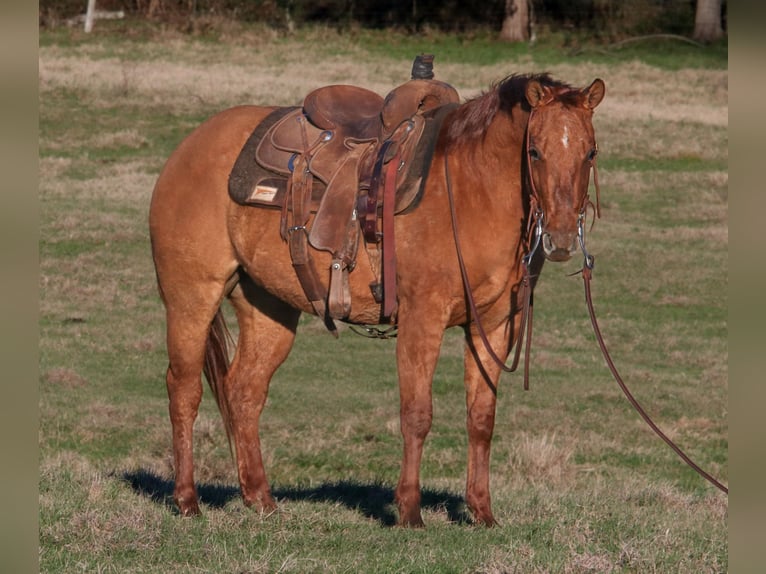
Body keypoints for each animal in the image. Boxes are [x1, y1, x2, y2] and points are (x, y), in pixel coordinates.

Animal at [148, 71, 608, 528]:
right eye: (534, 151)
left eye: (590, 152)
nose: (561, 238)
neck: (470, 190)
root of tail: (189, 146)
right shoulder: (423, 319)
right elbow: (417, 414)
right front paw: (409, 512)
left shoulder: (493, 327)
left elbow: (481, 418)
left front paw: (482, 512)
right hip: (193, 298)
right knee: (184, 389)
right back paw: (187, 500)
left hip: (268, 311)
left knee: (244, 392)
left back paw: (261, 499)